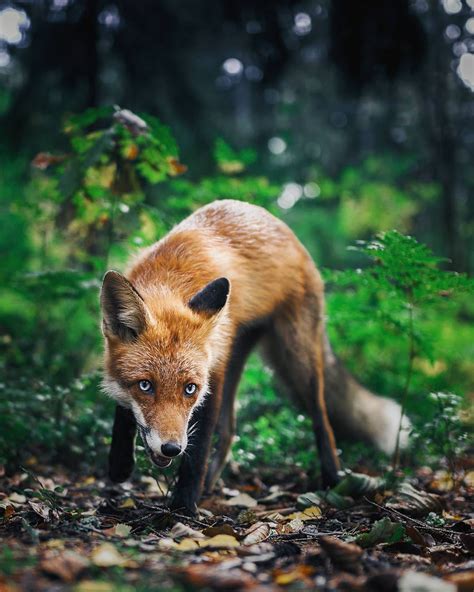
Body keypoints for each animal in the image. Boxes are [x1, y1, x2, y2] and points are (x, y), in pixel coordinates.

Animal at [101, 200, 412, 512]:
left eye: (190, 389)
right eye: (145, 386)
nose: (171, 448)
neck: (171, 279)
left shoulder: (213, 374)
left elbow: (198, 450)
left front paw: (183, 506)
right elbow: (123, 412)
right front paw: (119, 464)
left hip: (297, 359)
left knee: (322, 419)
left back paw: (333, 480)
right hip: (239, 358)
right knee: (229, 430)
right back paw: (210, 485)